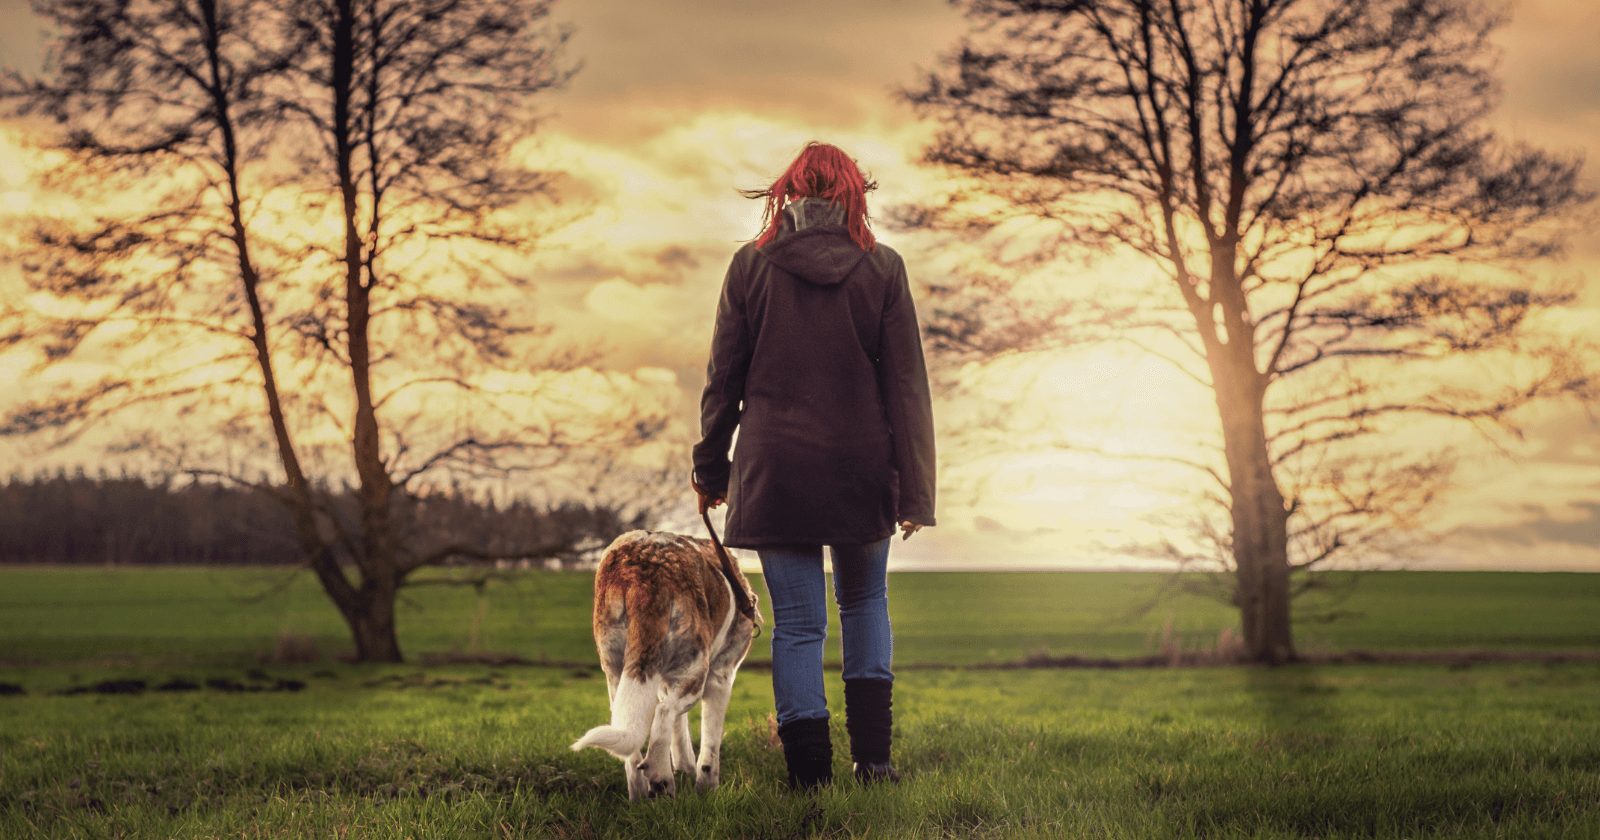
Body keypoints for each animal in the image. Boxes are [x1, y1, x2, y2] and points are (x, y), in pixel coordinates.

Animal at [569, 531, 761, 800]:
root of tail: (641, 574)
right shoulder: (721, 678)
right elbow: (710, 746)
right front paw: (707, 789)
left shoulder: (664, 682)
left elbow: (680, 733)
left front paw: (685, 768)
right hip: (695, 671)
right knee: (663, 714)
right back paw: (662, 779)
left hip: (617, 672)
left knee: (634, 747)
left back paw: (639, 796)